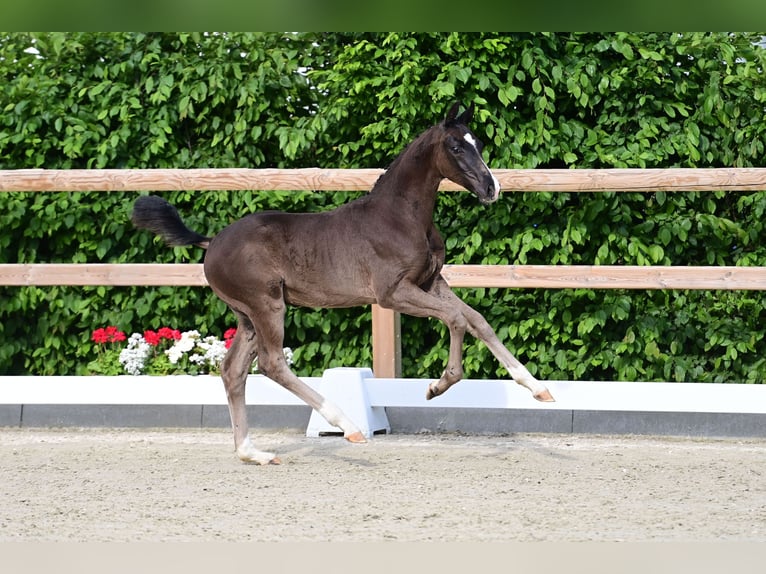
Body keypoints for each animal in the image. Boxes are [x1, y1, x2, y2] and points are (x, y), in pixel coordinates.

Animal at [129, 101, 556, 466]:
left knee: (234, 371)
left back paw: (253, 453)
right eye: (455, 146)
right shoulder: (392, 294)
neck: (400, 217)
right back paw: (347, 425)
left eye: (478, 144)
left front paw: (537, 388)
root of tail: (211, 242)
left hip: (247, 315)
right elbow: (455, 320)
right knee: (271, 363)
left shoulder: (431, 283)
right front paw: (438, 386)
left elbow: (477, 320)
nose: (491, 189)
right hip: (267, 305)